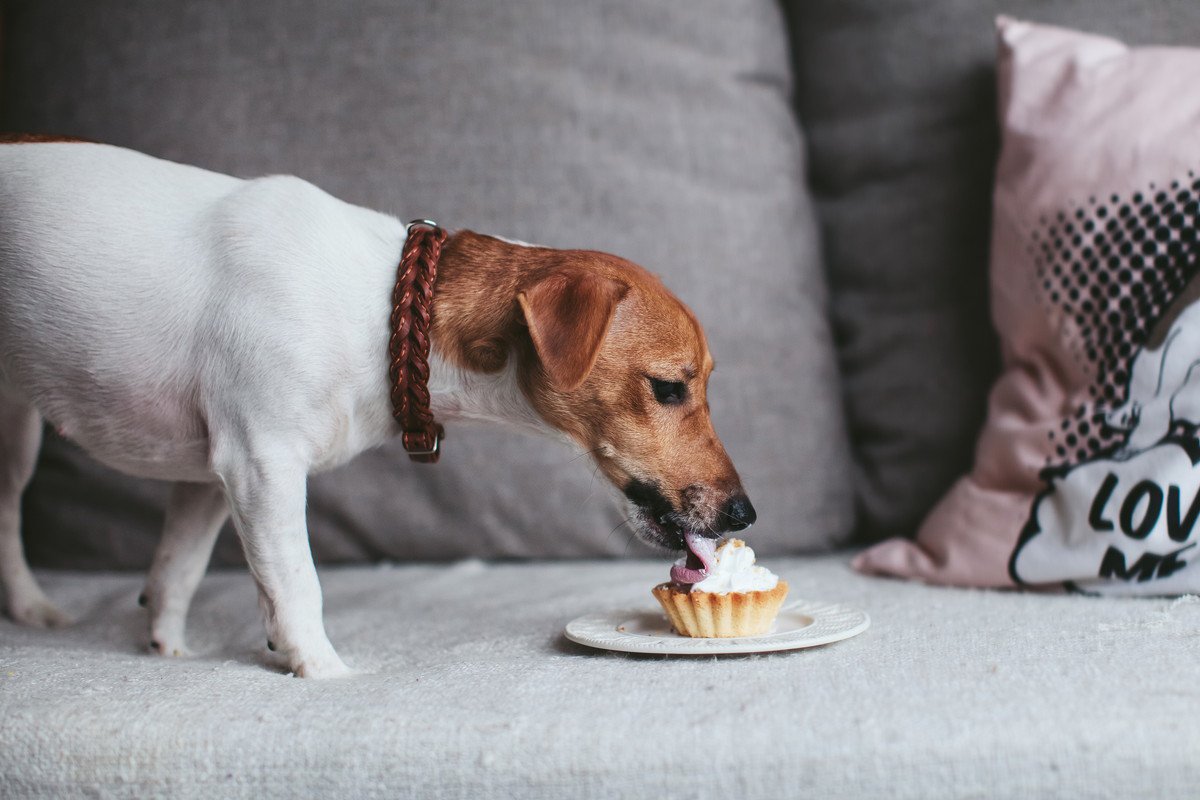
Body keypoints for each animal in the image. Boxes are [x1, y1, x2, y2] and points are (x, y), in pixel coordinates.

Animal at [0, 137, 753, 676]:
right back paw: (31, 606)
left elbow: (176, 572)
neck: (388, 313)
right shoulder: (260, 463)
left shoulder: (208, 479)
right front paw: (324, 672)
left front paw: (168, 650)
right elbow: (296, 584)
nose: (745, 513)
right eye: (669, 388)